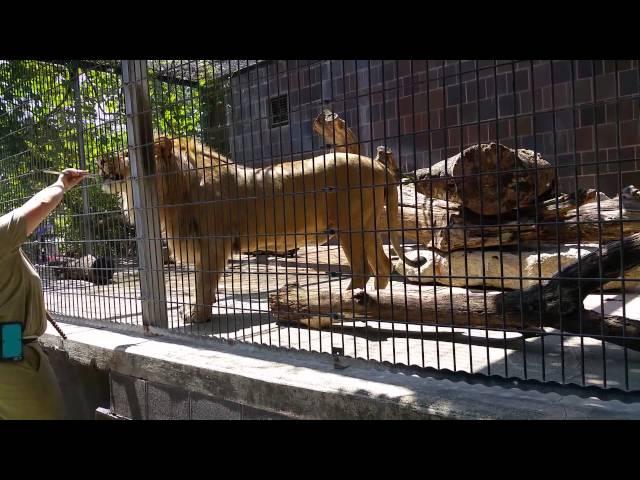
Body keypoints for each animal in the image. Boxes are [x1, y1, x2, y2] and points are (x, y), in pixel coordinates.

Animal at [97, 135, 422, 322]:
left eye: (126, 153)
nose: (99, 159)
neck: (175, 186)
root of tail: (380, 166)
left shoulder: (213, 242)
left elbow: (203, 282)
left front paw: (198, 315)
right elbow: (205, 282)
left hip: (350, 226)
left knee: (363, 269)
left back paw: (345, 302)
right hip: (366, 226)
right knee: (381, 264)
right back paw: (376, 301)